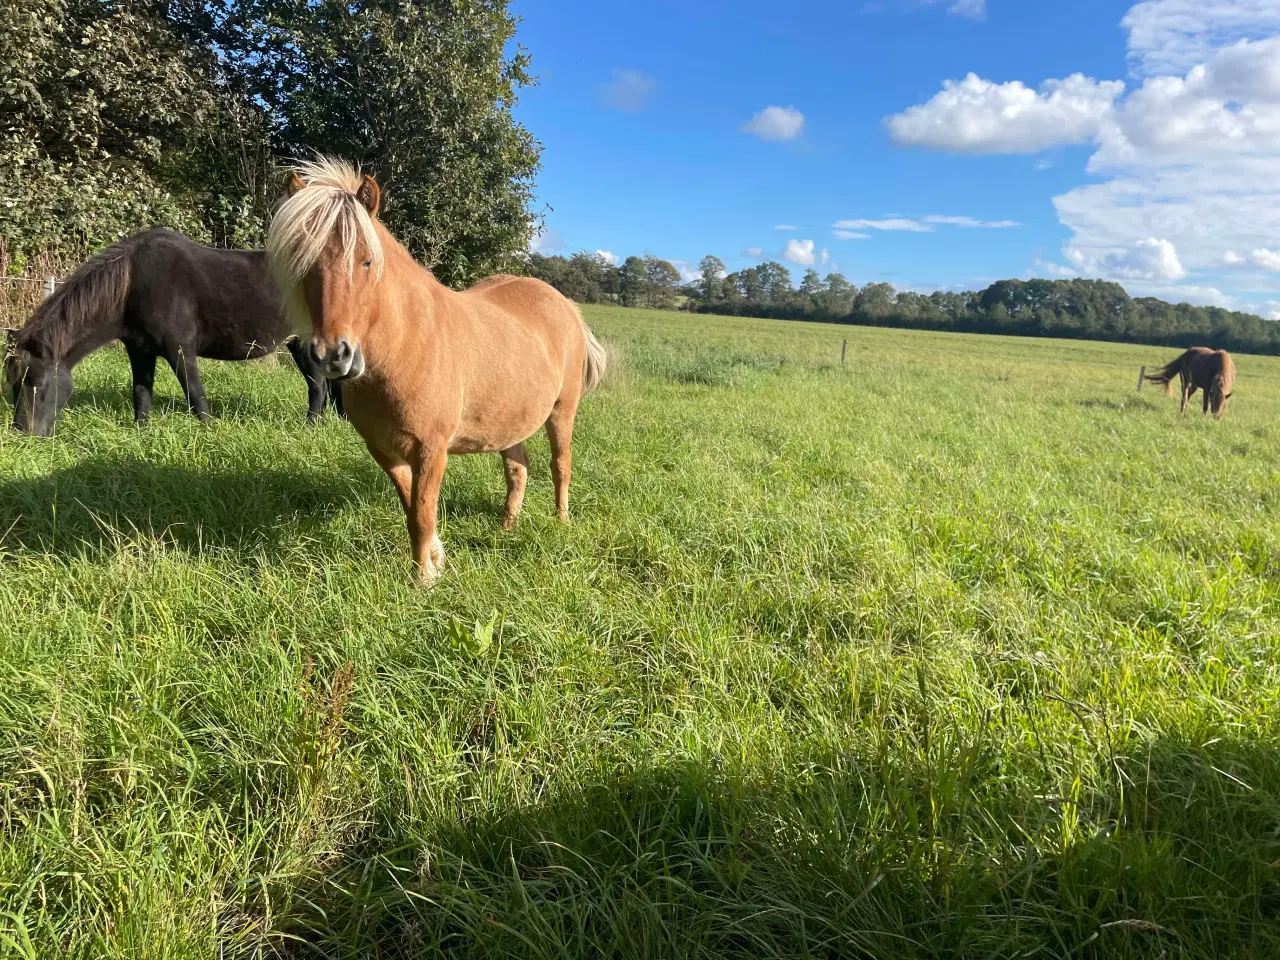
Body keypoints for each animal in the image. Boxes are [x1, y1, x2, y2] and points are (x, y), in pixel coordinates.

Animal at [3, 227, 345, 437]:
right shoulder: (139, 349)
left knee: (318, 388)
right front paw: (141, 433)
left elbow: (195, 395)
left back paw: (312, 427)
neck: (133, 284)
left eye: (37, 382)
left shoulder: (178, 348)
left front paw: (209, 432)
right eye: (15, 385)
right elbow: (141, 393)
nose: (23, 433)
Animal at [264, 158, 604, 583]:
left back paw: (561, 522)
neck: (405, 345)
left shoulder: (431, 449)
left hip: (562, 412)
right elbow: (413, 509)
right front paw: (437, 561)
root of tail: (565, 304)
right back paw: (506, 528)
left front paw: (423, 579)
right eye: (303, 263)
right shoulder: (384, 450)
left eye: (366, 260)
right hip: (511, 418)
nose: (333, 356)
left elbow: (423, 514)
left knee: (561, 466)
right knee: (518, 469)